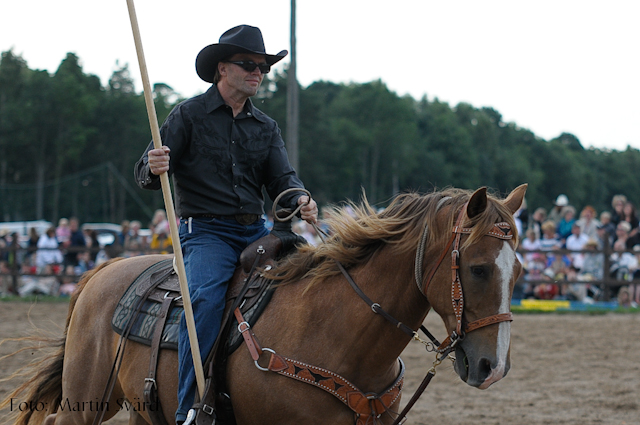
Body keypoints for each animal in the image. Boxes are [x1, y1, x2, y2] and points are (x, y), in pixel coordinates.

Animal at [2, 184, 524, 422]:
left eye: (518, 270)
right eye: (478, 268)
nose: (493, 367)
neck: (337, 330)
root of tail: (102, 270)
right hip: (86, 400)